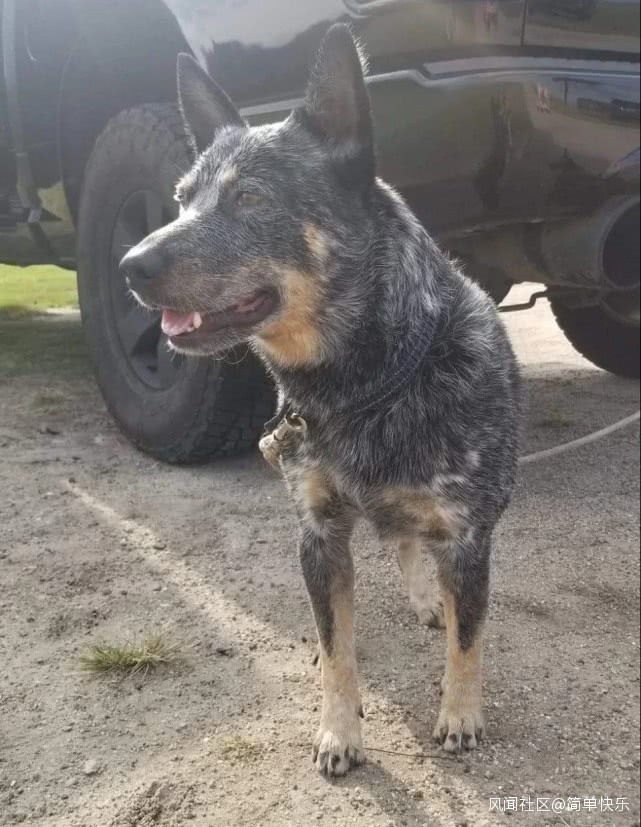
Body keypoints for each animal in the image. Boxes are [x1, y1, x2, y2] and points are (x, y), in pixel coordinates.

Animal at [120, 24, 522, 778]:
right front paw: (339, 729)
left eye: (249, 198)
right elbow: (337, 646)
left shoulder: (468, 535)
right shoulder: (318, 534)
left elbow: (469, 638)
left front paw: (460, 712)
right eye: (182, 197)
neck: (365, 386)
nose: (130, 264)